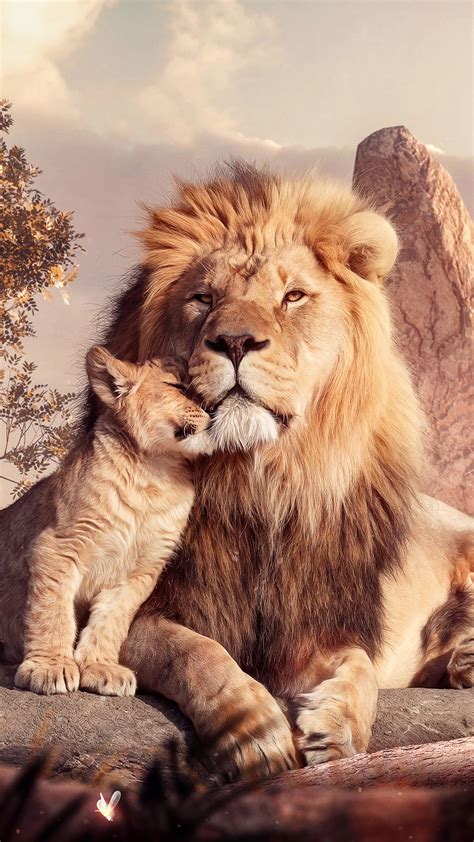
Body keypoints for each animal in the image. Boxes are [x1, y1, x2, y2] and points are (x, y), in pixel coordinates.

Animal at [0, 349, 211, 696]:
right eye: (178, 387)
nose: (212, 408)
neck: (155, 473)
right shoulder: (58, 545)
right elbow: (53, 611)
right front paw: (50, 666)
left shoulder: (142, 569)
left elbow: (112, 619)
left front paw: (101, 667)